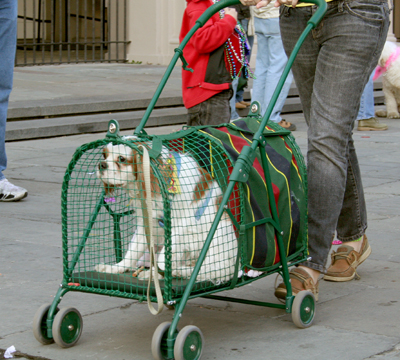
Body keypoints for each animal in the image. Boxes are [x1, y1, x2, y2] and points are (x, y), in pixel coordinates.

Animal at [94, 141, 238, 284]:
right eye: (104, 155)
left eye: (121, 159)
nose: (101, 164)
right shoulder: (147, 222)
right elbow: (133, 250)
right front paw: (116, 267)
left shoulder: (180, 226)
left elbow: (163, 257)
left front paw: (155, 274)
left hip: (217, 235)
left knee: (215, 269)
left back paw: (180, 272)